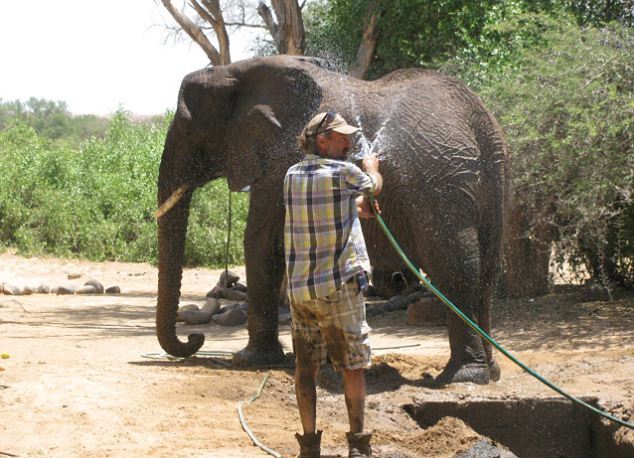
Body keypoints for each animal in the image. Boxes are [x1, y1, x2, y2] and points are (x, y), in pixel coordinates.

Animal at [157, 53, 508, 384]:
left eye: (188, 129)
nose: (196, 339)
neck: (238, 71)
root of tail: (481, 128)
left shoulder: (279, 161)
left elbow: (262, 241)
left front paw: (250, 360)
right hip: (492, 184)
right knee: (486, 273)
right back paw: (490, 372)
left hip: (441, 188)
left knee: (455, 269)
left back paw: (462, 378)